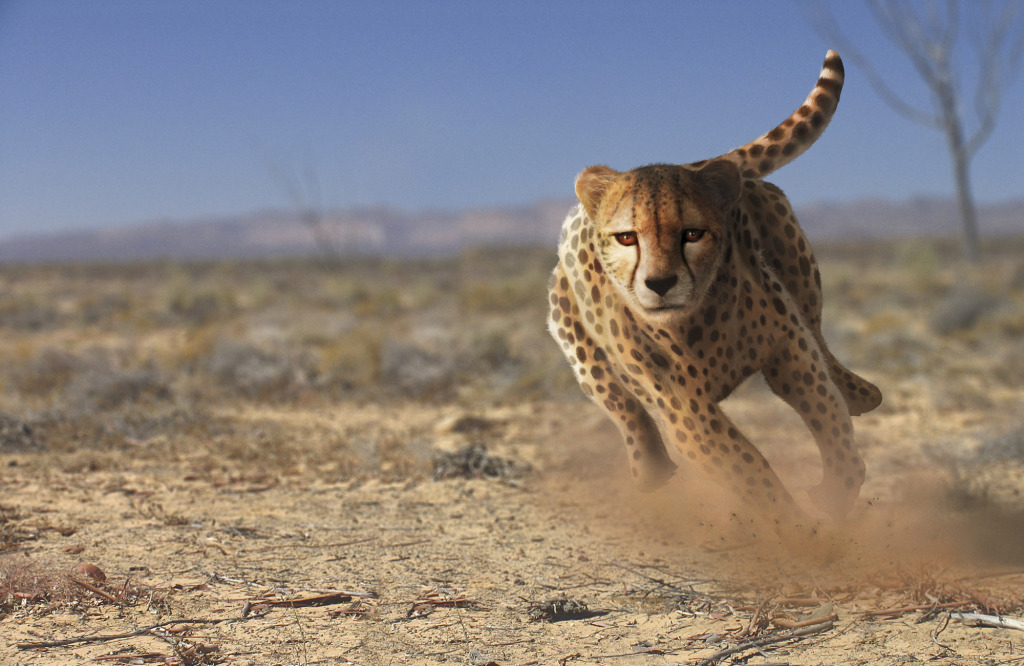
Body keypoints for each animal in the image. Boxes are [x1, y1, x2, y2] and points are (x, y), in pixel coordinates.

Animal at [547, 50, 881, 537]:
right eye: (627, 238)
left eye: (692, 233)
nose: (660, 283)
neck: (697, 320)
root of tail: (690, 164)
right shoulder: (687, 412)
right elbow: (751, 468)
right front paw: (799, 533)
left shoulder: (789, 352)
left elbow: (827, 415)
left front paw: (836, 491)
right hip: (569, 325)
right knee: (613, 394)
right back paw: (649, 468)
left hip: (797, 265)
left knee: (820, 337)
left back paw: (860, 393)